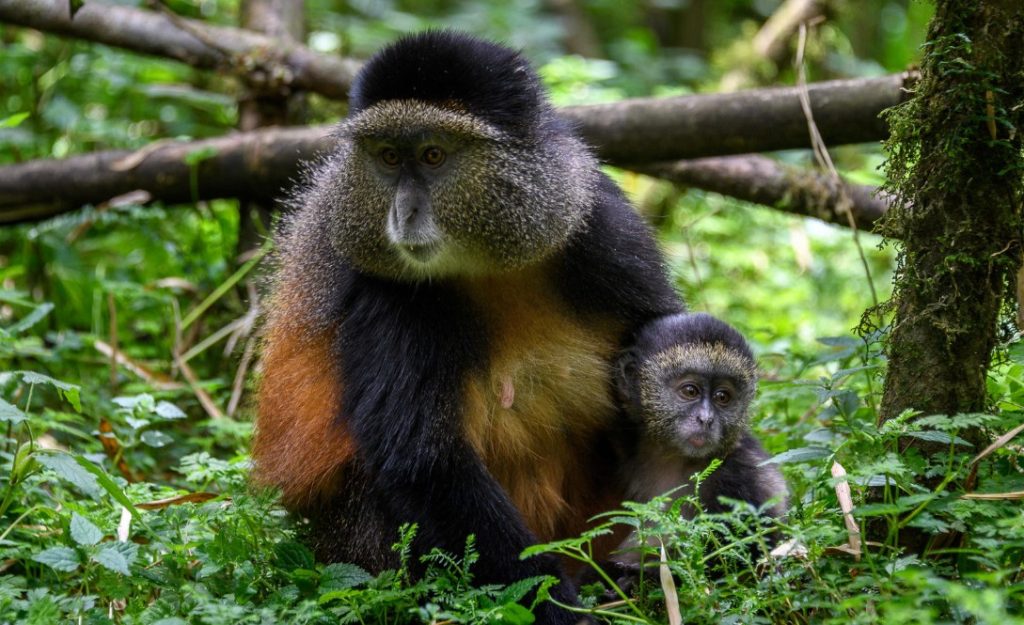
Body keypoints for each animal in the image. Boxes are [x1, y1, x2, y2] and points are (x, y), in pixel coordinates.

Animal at [250, 31, 682, 624]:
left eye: (433, 155)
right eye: (388, 157)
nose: (403, 214)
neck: (488, 262)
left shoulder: (602, 228)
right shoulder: (388, 295)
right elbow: (424, 464)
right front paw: (560, 609)